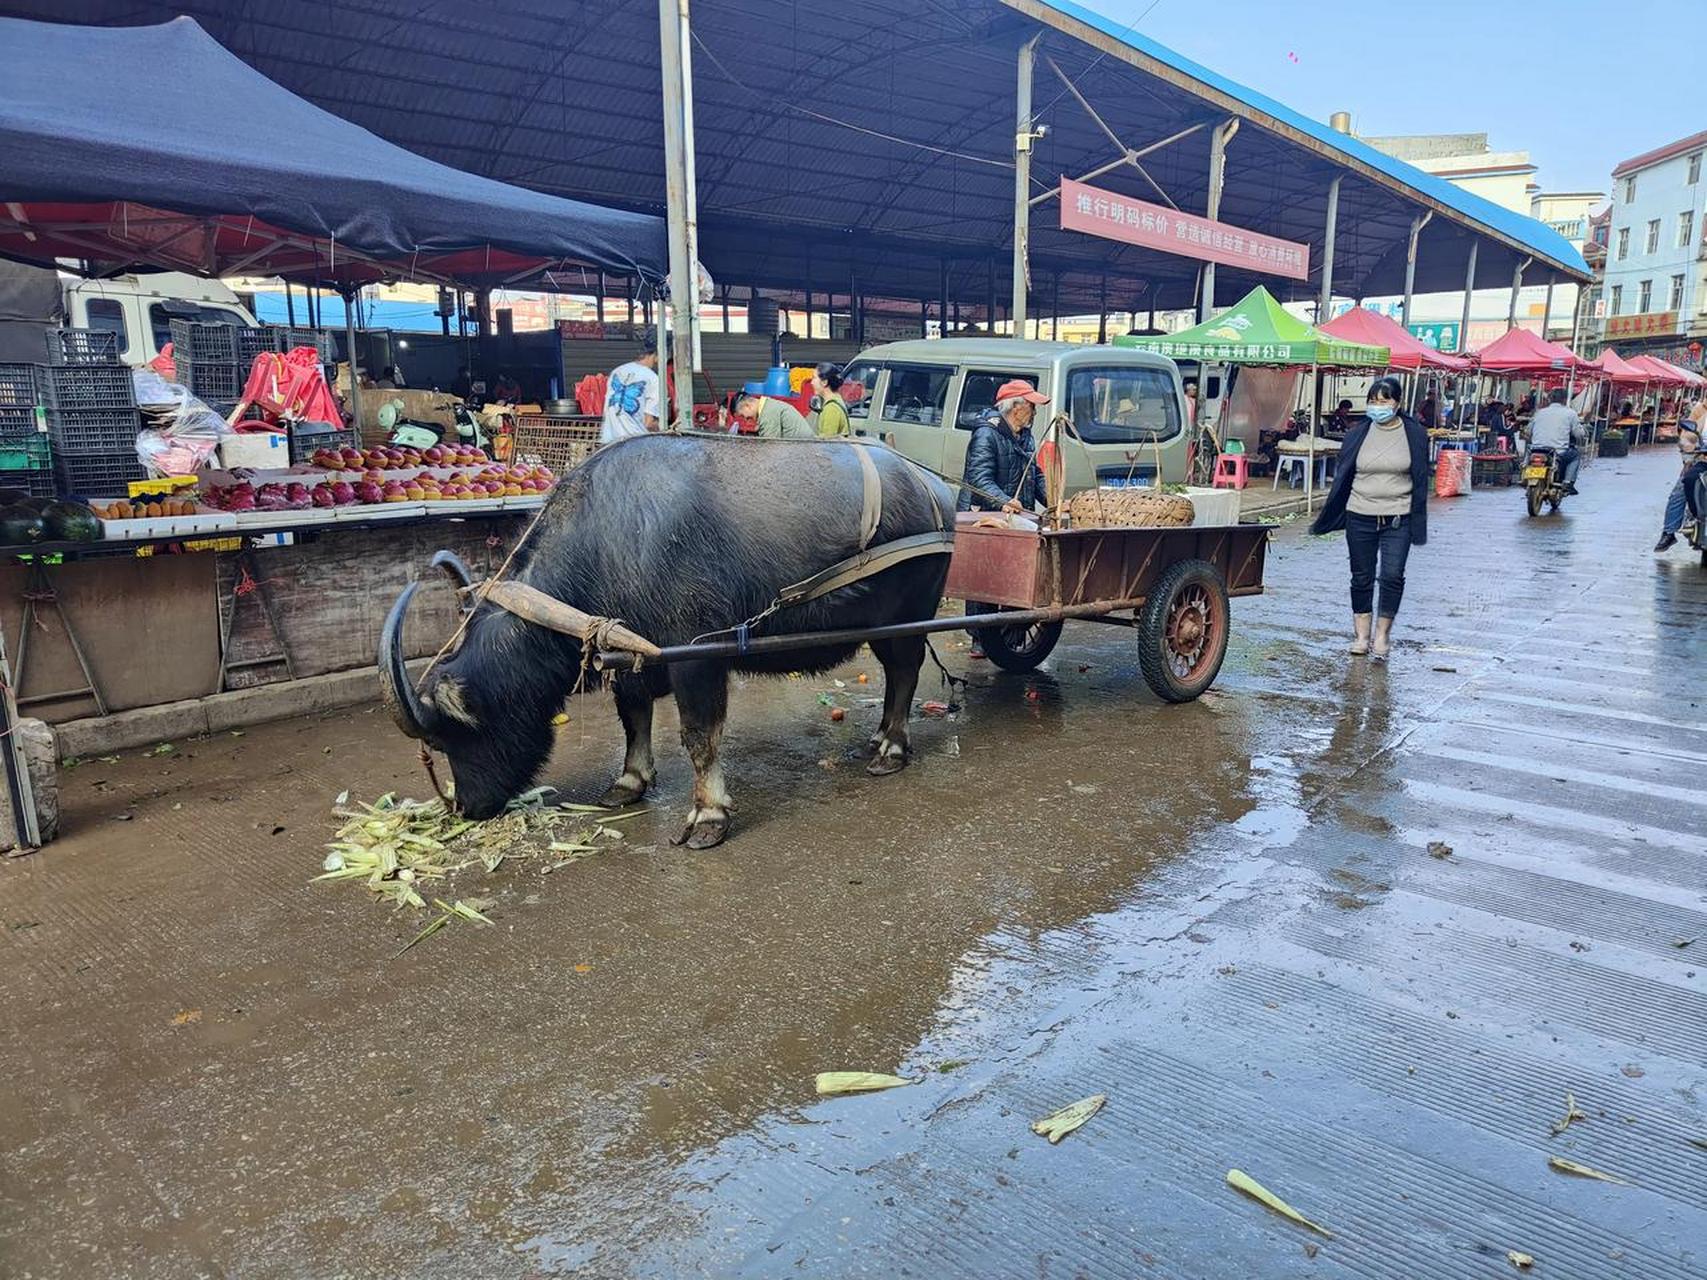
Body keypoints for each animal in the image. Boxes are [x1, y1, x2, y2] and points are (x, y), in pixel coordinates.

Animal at [378, 436, 955, 846]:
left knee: (904, 671)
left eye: (451, 736)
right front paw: (629, 782)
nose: (467, 808)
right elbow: (633, 716)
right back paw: (878, 739)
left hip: (909, 616)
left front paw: (708, 815)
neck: (611, 544)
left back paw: (892, 748)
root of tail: (936, 489)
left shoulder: (696, 657)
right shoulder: (630, 655)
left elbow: (700, 736)